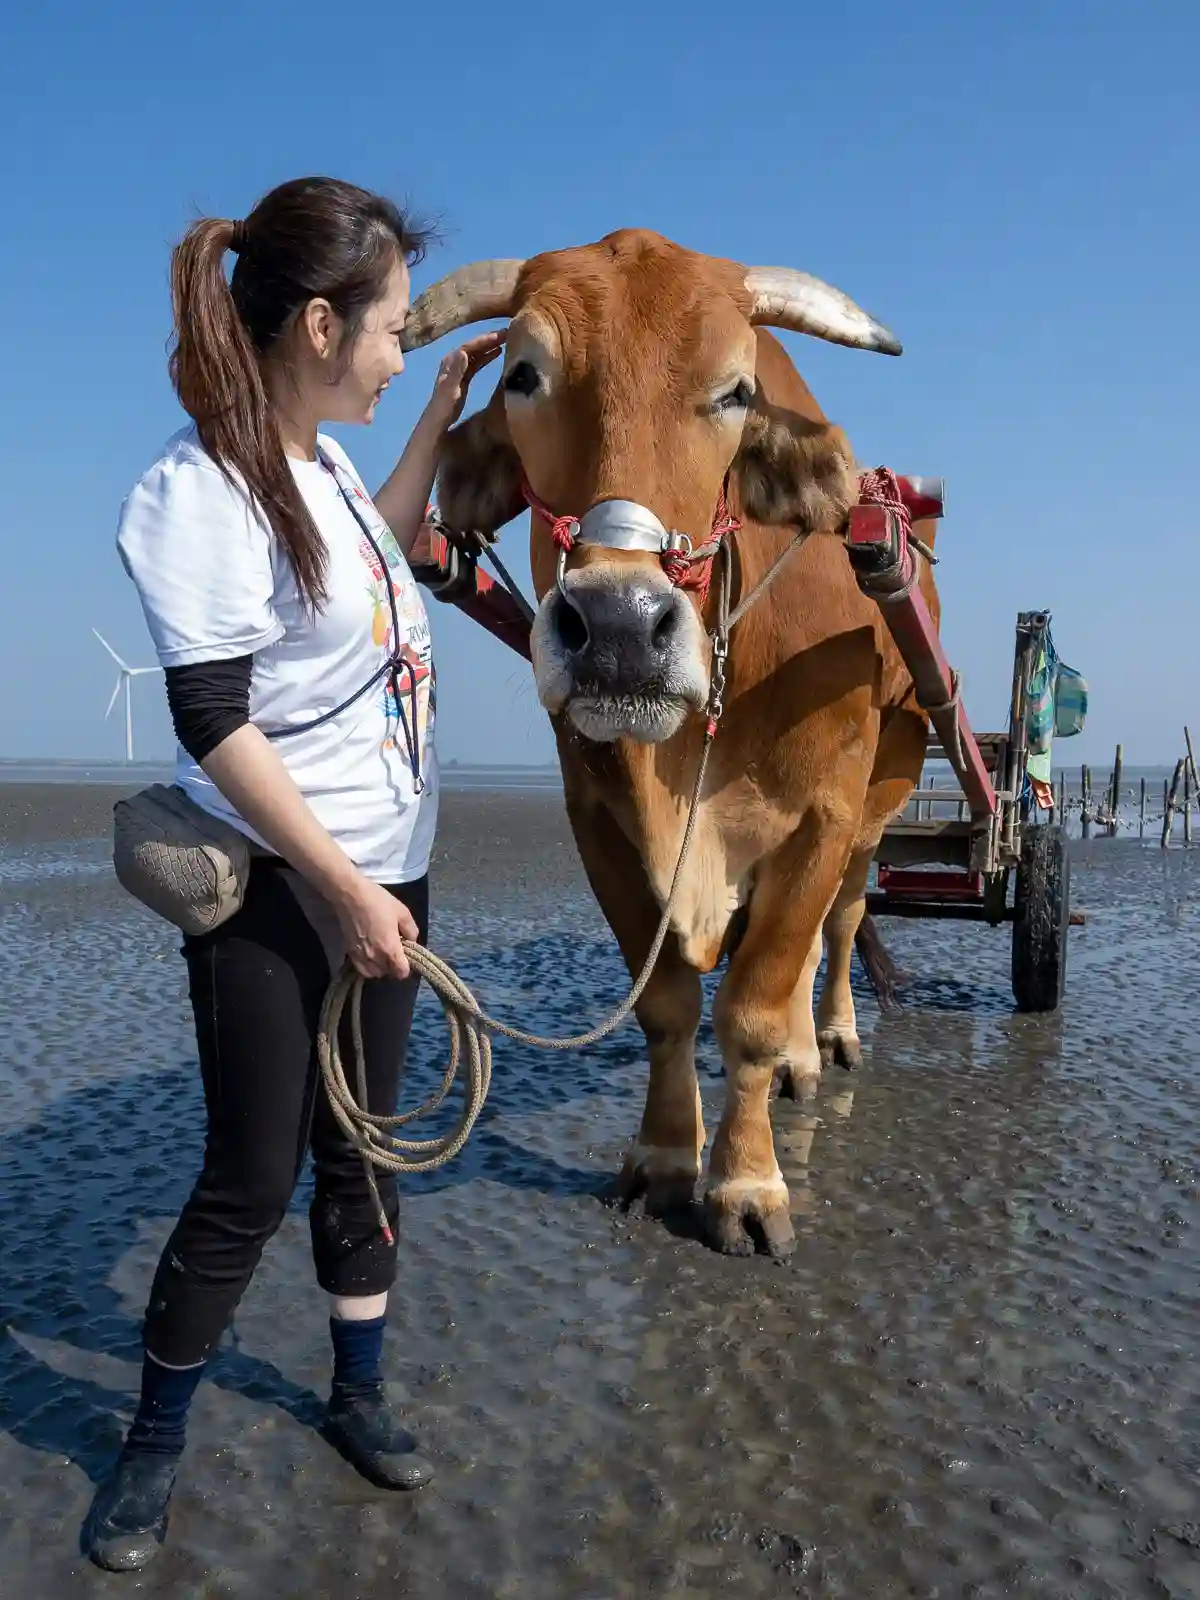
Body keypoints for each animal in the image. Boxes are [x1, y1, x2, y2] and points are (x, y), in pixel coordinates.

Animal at [404, 233, 940, 1260]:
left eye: (736, 391)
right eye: (523, 375)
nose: (618, 625)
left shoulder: (822, 817)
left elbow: (757, 1006)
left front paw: (746, 1184)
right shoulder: (598, 817)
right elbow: (667, 1007)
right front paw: (663, 1160)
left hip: (881, 795)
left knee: (838, 927)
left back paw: (828, 1044)